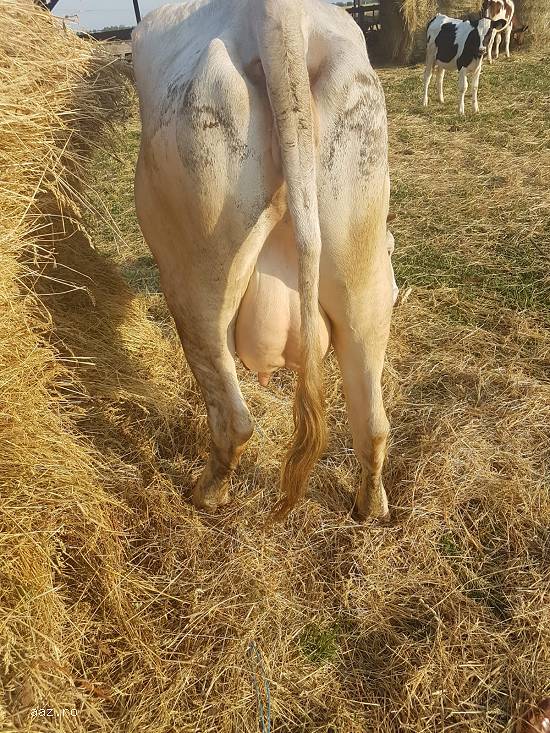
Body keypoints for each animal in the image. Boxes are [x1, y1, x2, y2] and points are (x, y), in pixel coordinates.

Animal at [132, 0, 395, 521]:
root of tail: (275, 14)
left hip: (197, 271)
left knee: (233, 417)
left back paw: (207, 492)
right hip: (362, 259)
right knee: (372, 422)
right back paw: (369, 506)